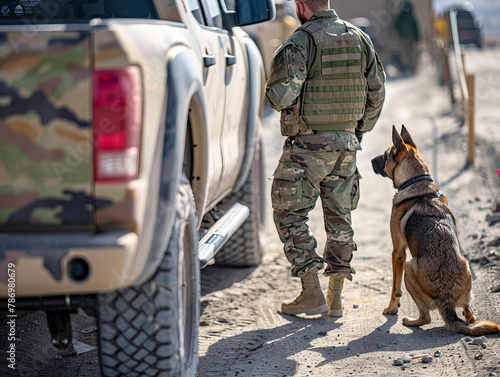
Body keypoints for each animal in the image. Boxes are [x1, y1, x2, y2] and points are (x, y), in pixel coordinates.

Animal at [374, 126, 498, 334]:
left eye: (385, 155)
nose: (370, 161)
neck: (417, 183)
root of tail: (446, 298)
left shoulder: (398, 253)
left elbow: (395, 289)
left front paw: (391, 308)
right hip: (466, 265)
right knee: (468, 312)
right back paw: (469, 316)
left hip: (408, 267)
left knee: (426, 318)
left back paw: (411, 321)